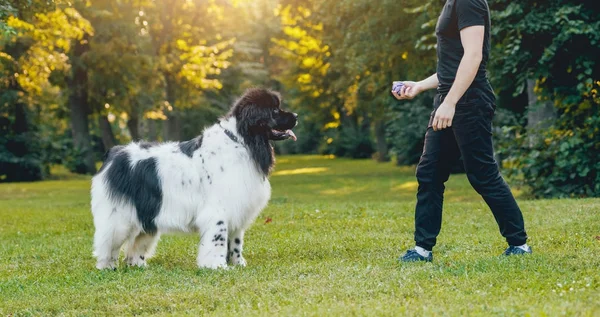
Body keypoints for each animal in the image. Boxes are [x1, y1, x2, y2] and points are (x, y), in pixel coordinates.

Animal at [91, 88, 298, 270]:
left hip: (147, 213)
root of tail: (114, 153)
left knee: (137, 243)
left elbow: (236, 241)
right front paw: (218, 266)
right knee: (108, 244)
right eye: (274, 110)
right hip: (118, 217)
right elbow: (218, 239)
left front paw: (238, 264)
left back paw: (138, 265)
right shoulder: (218, 210)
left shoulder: (237, 207)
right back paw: (107, 267)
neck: (241, 140)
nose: (296, 116)